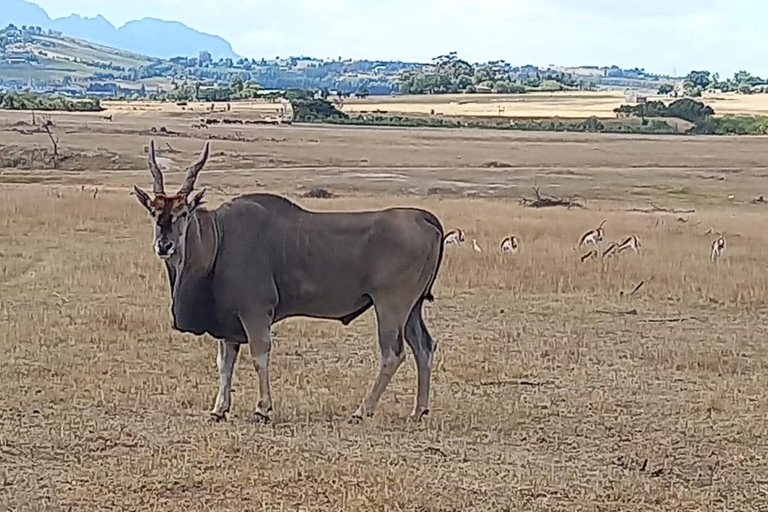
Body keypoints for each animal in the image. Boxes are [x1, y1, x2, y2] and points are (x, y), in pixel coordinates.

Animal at [132, 141, 444, 424]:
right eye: (153, 212)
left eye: (183, 213)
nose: (164, 245)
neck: (219, 237)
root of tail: (425, 219)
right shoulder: (228, 321)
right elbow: (225, 362)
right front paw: (218, 410)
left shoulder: (255, 312)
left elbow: (259, 355)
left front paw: (262, 409)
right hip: (412, 308)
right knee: (424, 348)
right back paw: (418, 410)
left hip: (391, 306)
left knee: (392, 354)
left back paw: (362, 410)